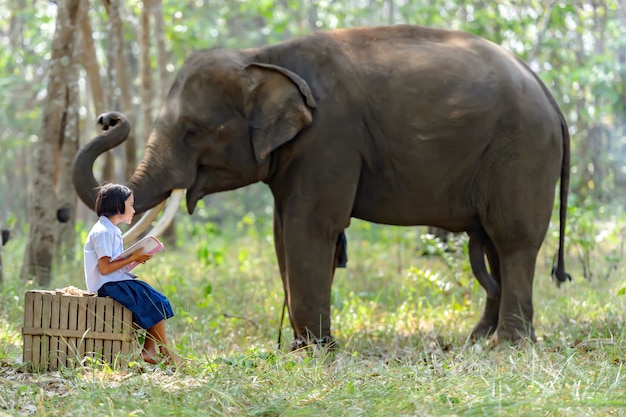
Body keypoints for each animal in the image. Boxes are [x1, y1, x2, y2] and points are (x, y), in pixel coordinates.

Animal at [70, 23, 568, 348]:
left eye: (193, 130)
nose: (107, 118)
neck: (264, 55)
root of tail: (548, 92)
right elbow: (283, 234)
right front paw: (306, 345)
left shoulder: (331, 136)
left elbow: (309, 226)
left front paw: (313, 349)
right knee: (493, 247)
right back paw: (483, 338)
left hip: (523, 151)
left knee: (513, 240)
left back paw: (508, 344)